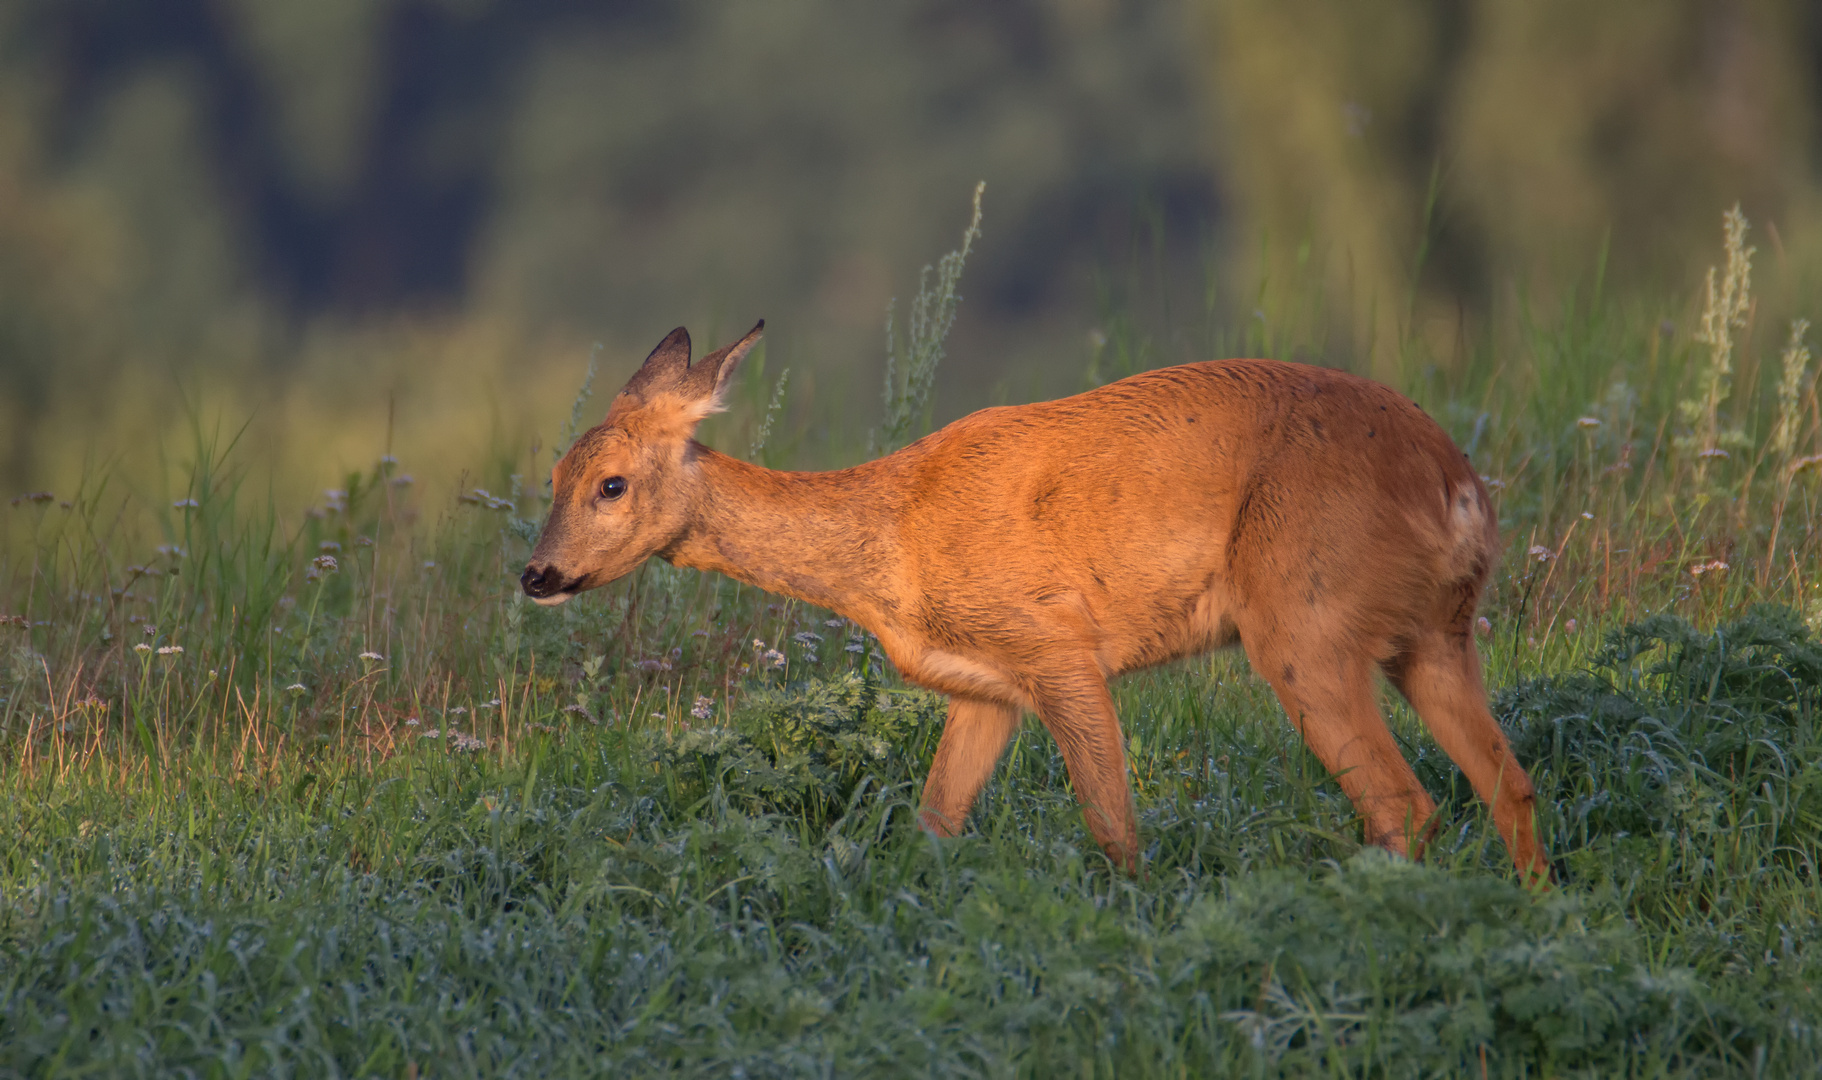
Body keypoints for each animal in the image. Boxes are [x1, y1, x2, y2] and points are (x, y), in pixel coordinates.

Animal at [524, 324, 1552, 881]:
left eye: (611, 484)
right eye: (552, 475)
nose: (536, 574)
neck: (892, 545)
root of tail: (1458, 485)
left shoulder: (1058, 642)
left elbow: (1115, 827)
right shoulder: (985, 688)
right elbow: (934, 824)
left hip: (1305, 621)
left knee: (1406, 803)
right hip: (1434, 632)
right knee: (1507, 781)